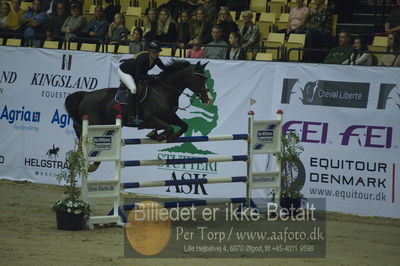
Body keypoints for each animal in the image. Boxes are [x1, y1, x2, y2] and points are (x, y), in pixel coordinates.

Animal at [64, 59, 211, 172]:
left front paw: (168, 136)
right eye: (198, 78)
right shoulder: (151, 119)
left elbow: (183, 126)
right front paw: (158, 135)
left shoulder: (170, 117)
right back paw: (93, 165)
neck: (164, 91)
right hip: (95, 125)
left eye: (205, 78)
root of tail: (86, 95)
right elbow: (168, 128)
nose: (208, 99)